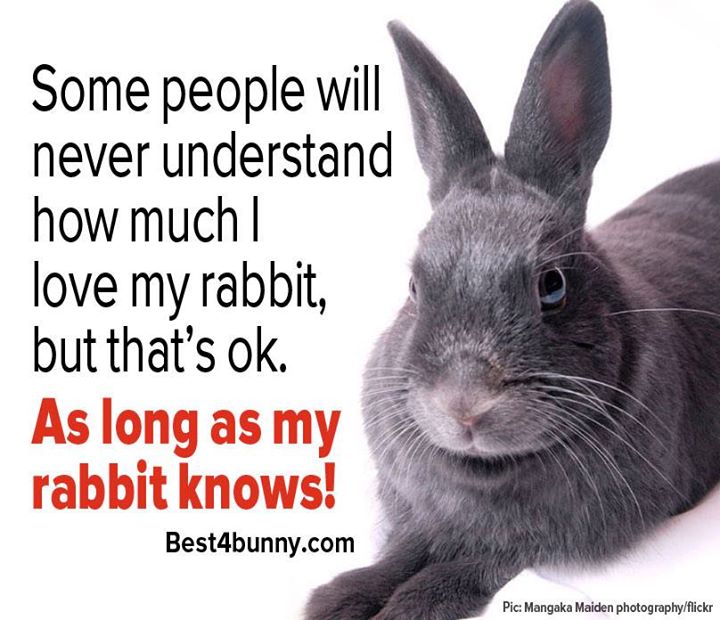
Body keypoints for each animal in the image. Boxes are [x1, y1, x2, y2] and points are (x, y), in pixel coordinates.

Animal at [306, 1, 720, 618]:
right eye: (414, 285)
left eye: (552, 286)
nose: (465, 404)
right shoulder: (416, 517)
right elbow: (401, 551)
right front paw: (338, 599)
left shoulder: (529, 545)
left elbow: (475, 564)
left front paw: (413, 605)